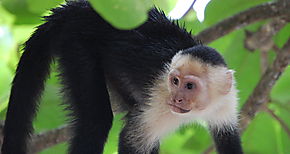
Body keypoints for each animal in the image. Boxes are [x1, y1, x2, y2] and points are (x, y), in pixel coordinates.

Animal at [1, 0, 242, 154]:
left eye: (190, 86)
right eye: (175, 82)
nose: (177, 98)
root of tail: (78, 7)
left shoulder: (227, 103)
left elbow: (229, 140)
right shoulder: (160, 103)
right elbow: (131, 140)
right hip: (77, 43)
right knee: (96, 121)